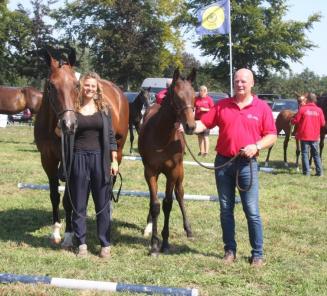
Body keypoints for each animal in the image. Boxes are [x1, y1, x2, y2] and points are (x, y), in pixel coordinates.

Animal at [34, 48, 129, 246]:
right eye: (51, 86)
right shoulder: (47, 159)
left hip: (118, 150)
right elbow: (54, 196)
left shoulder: (69, 161)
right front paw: (55, 232)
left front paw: (69, 235)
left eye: (76, 85)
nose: (69, 124)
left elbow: (68, 200)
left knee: (111, 180)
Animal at [139, 68, 197, 256]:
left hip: (180, 173)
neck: (163, 137)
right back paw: (148, 225)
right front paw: (154, 244)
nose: (190, 126)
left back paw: (189, 229)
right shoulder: (150, 171)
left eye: (194, 95)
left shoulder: (173, 172)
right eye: (177, 96)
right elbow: (155, 204)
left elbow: (168, 204)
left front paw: (164, 242)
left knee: (180, 194)